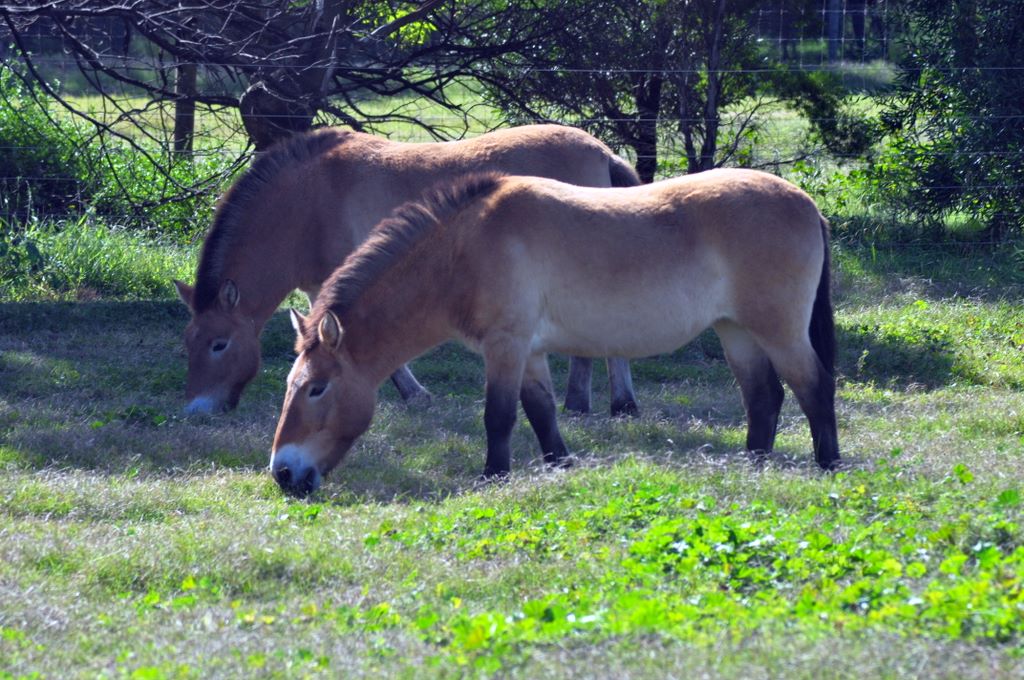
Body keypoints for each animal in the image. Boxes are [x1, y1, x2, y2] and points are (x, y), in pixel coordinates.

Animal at [173, 125, 642, 416]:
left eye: (218, 344)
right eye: (188, 342)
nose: (196, 409)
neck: (307, 201)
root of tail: (603, 152)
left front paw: (413, 393)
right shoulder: (319, 286)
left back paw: (605, 402)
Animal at [270, 169, 840, 496]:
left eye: (317, 388)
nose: (283, 474)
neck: (461, 251)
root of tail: (806, 203)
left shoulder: (506, 344)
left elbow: (499, 415)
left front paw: (493, 478)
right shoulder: (531, 351)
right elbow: (540, 411)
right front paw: (560, 466)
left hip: (779, 330)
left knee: (814, 387)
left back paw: (828, 465)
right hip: (736, 331)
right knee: (763, 397)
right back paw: (753, 466)